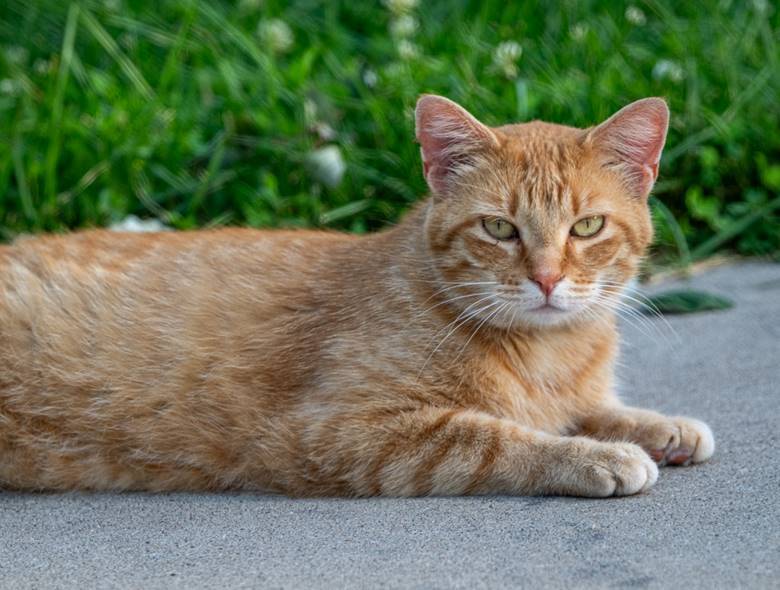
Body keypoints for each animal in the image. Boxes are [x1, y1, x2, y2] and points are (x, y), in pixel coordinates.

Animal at [0, 94, 714, 496]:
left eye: (587, 227)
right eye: (499, 229)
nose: (545, 279)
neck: (550, 353)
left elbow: (597, 409)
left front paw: (661, 427)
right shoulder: (343, 433)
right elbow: (500, 438)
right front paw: (597, 457)